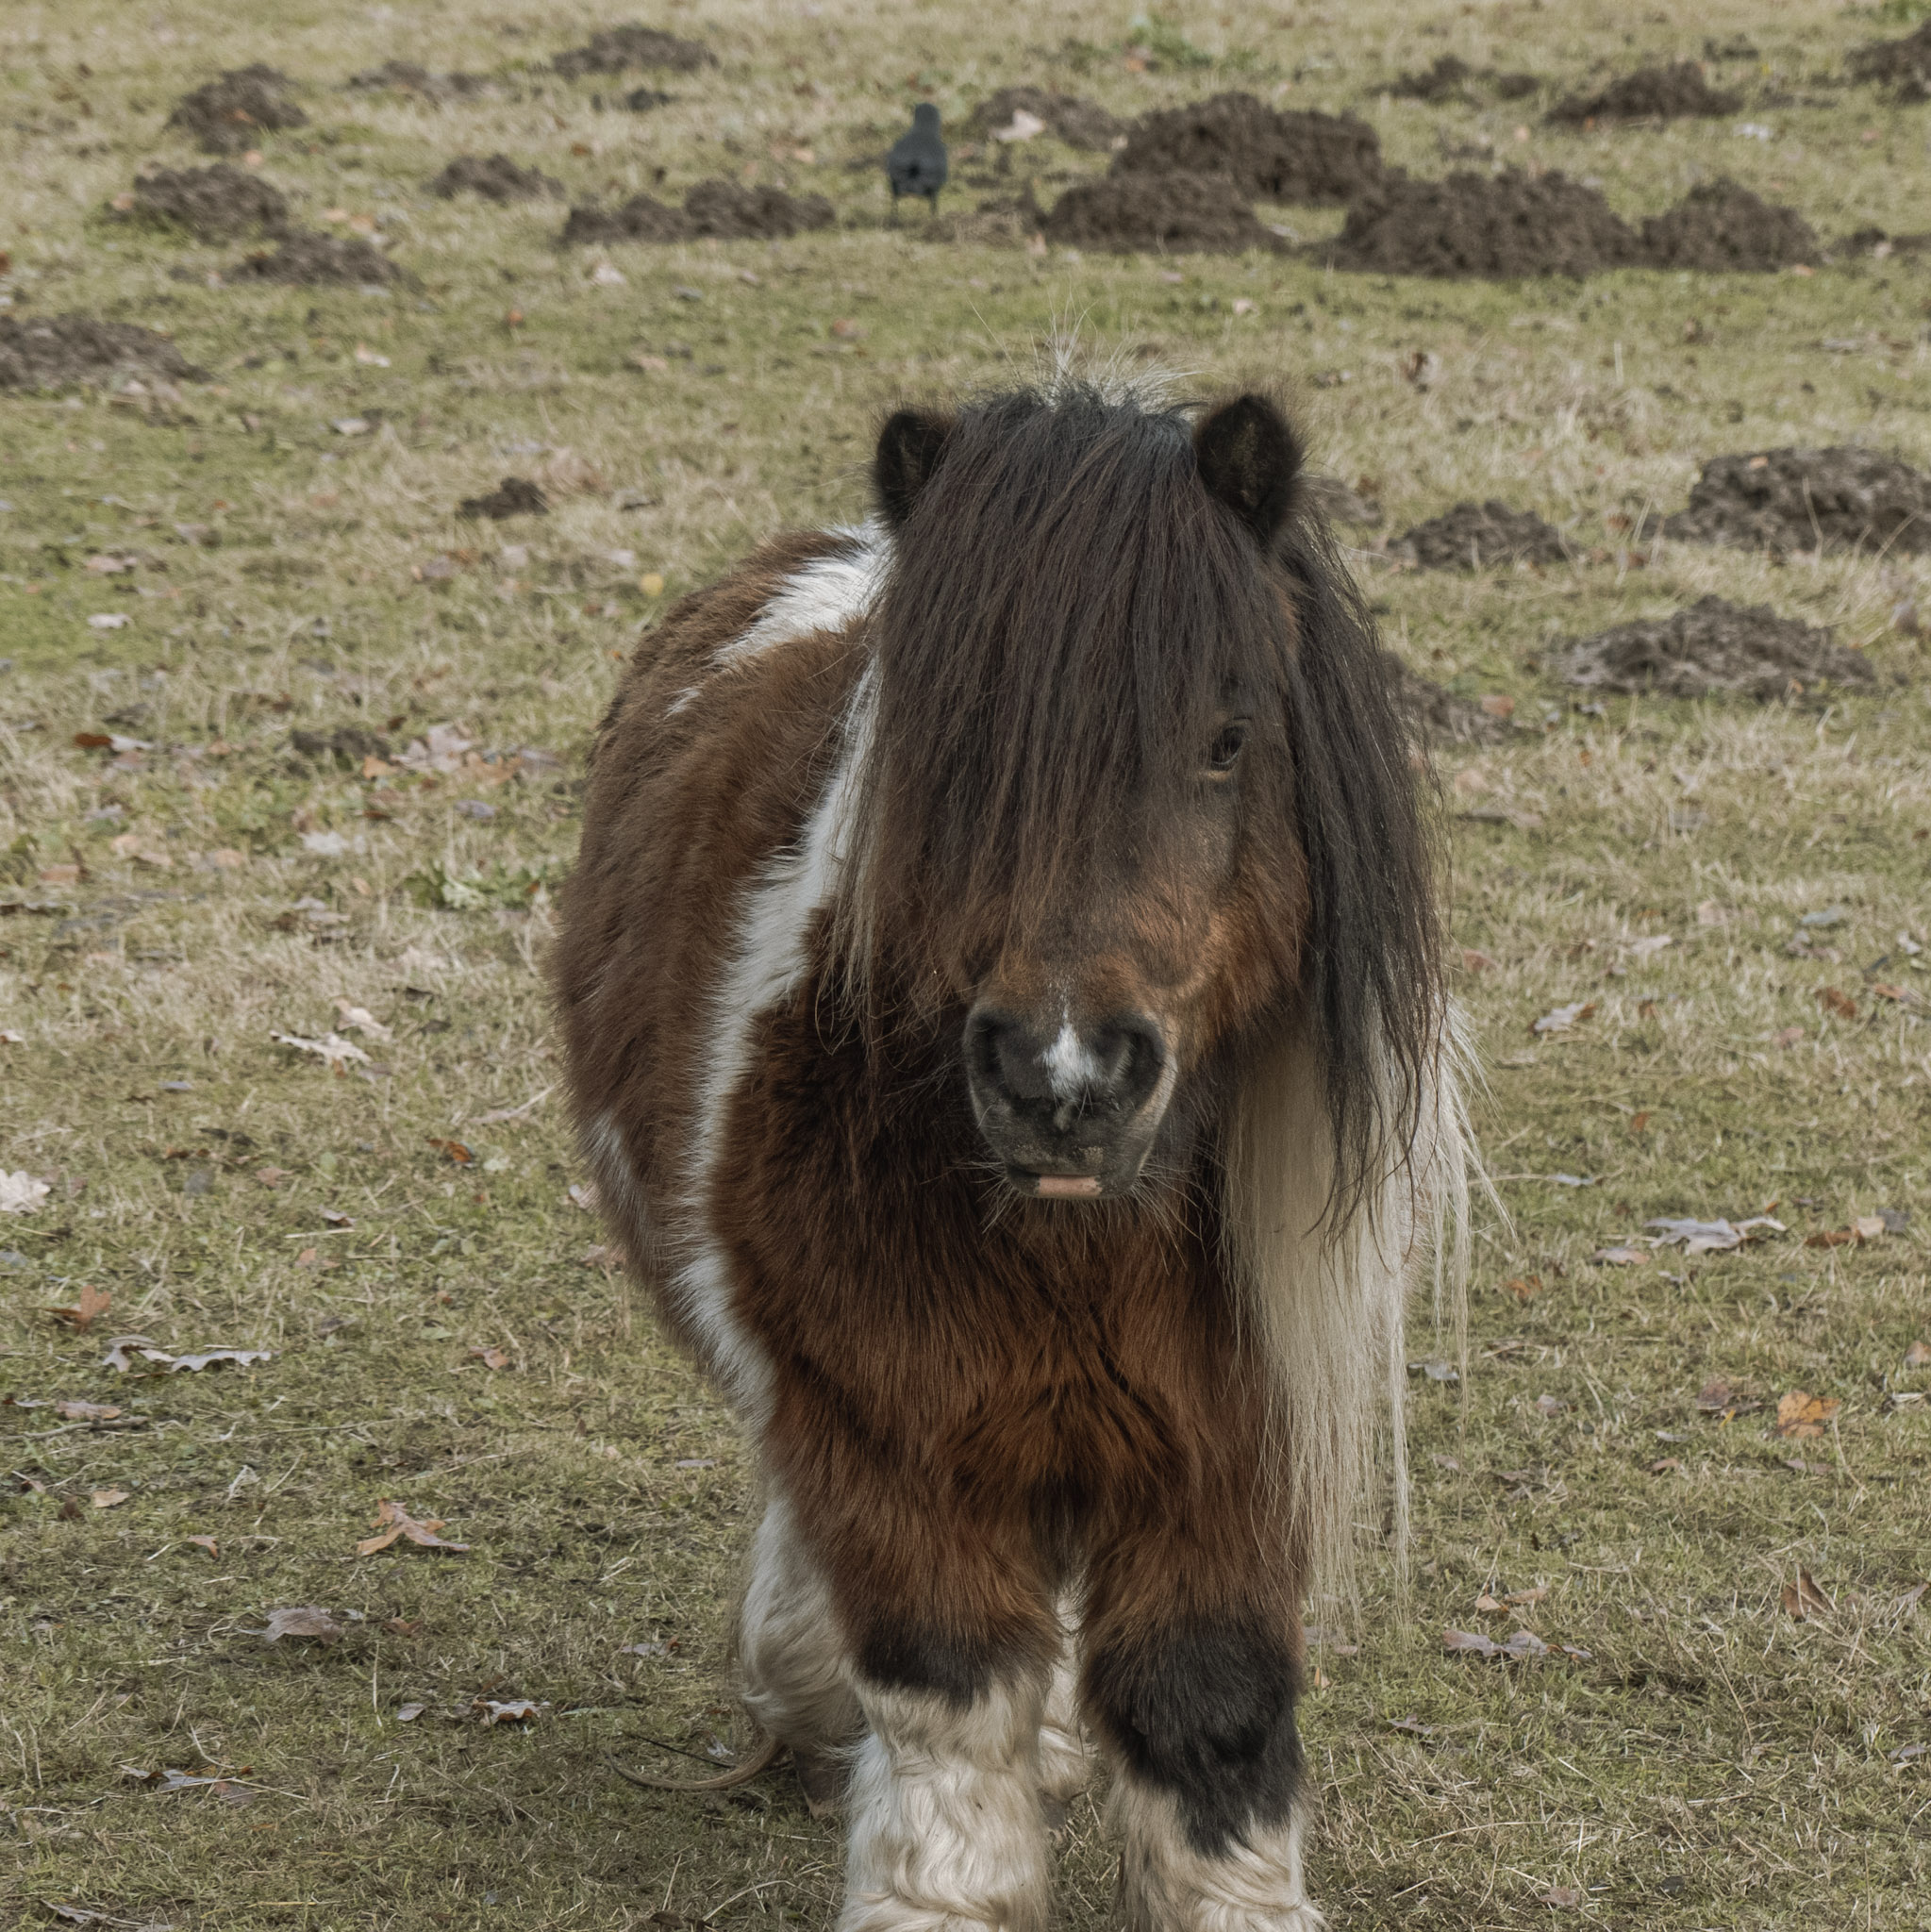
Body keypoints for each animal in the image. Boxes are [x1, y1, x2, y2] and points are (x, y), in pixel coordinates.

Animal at [553, 374, 1472, 1932]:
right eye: (938, 747)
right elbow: (946, 1722)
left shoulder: (1231, 1452)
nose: (1062, 1079)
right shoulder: (891, 1434)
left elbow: (1205, 1709)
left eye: (1227, 737)